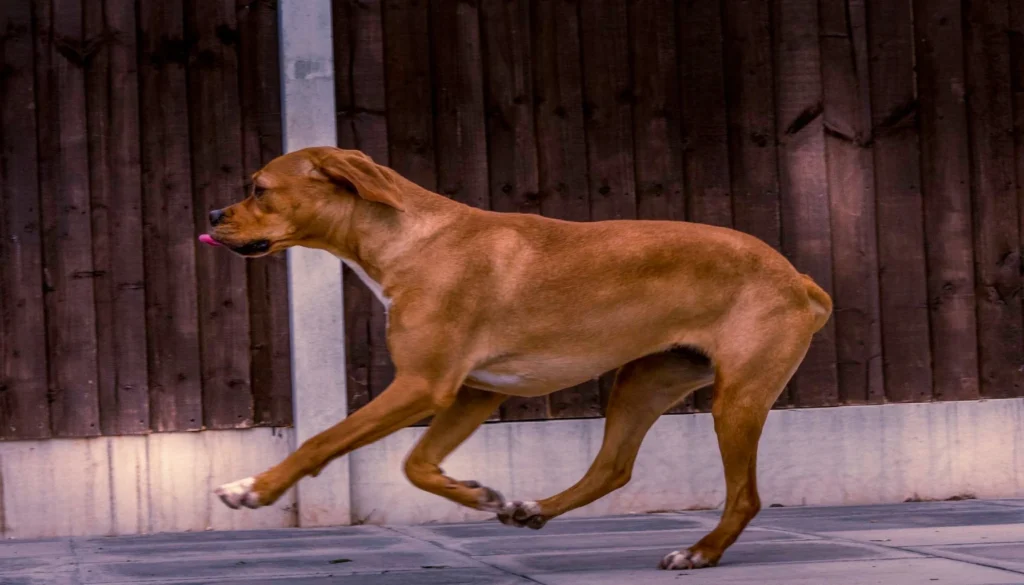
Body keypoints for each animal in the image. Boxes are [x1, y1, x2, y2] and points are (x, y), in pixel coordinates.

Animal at [205, 147, 831, 573]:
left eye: (258, 188)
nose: (212, 215)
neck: (411, 238)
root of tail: (797, 278)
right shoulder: (473, 391)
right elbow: (415, 465)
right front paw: (477, 494)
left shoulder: (423, 385)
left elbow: (321, 441)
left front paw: (252, 488)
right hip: (643, 383)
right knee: (611, 469)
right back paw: (533, 510)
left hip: (736, 402)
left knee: (744, 497)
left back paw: (700, 552)